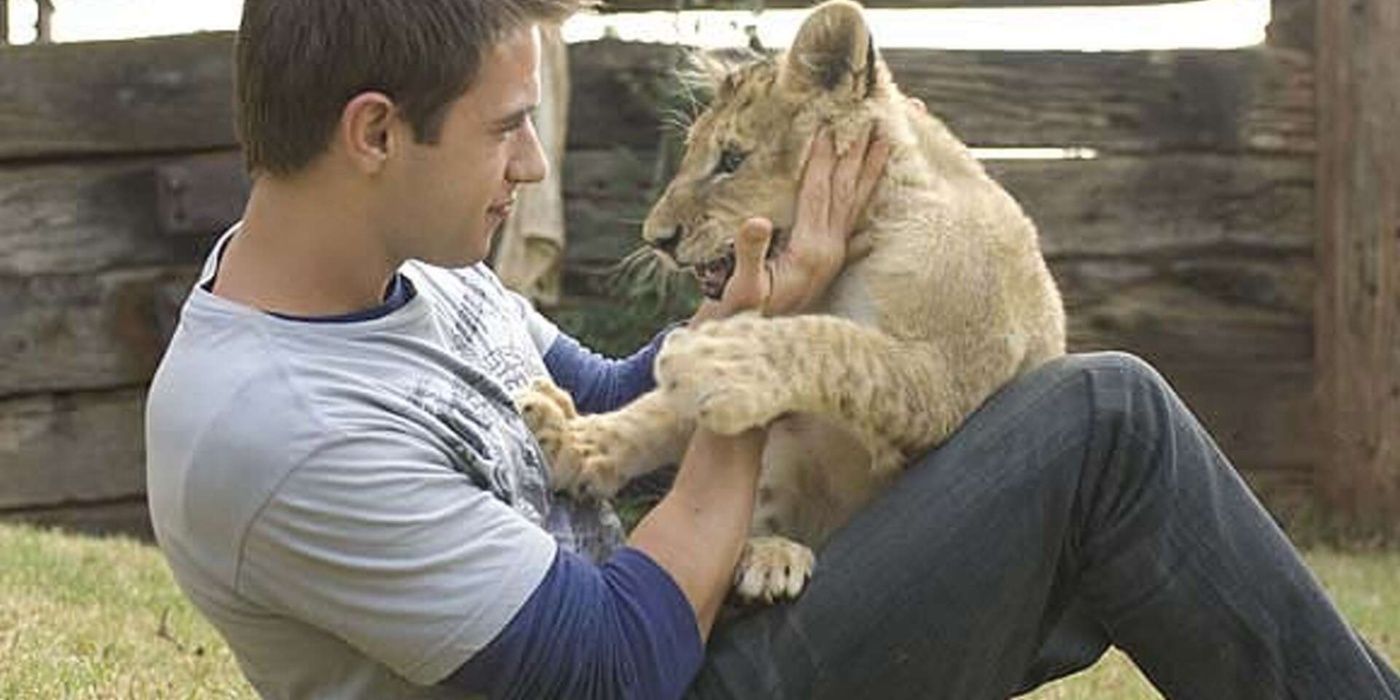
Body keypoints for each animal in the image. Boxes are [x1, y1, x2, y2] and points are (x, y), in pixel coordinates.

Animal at [516, 0, 1066, 603]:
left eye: (731, 159)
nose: (655, 238)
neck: (862, 243)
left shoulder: (948, 375)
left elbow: (833, 341)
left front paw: (709, 360)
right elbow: (657, 411)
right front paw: (575, 443)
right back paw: (769, 552)